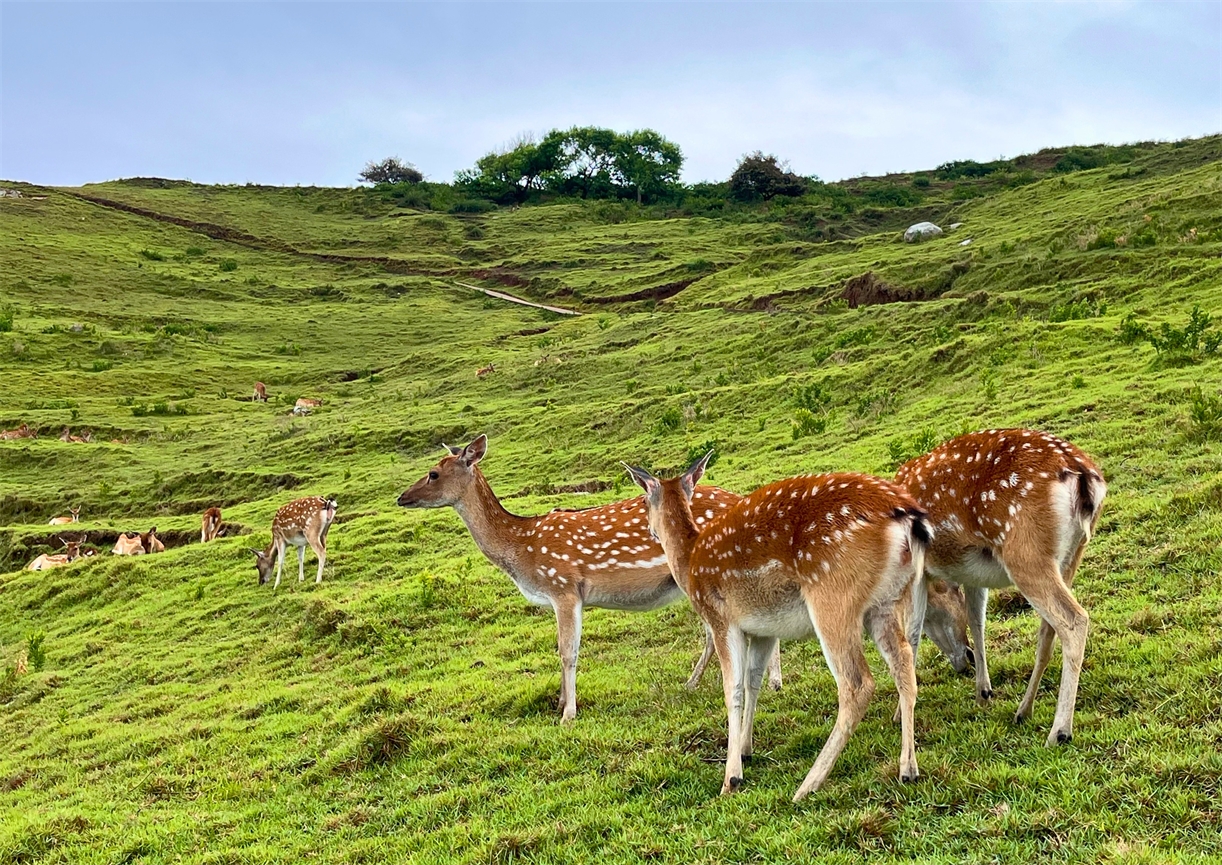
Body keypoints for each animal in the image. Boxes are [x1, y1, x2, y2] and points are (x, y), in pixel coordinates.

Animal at [396, 435, 782, 723]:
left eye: (433, 473)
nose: (402, 497)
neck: (522, 550)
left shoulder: (564, 586)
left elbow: (567, 650)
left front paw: (568, 713)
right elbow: (563, 649)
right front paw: (558, 702)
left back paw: (761, 682)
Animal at [626, 454, 931, 800]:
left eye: (643, 501)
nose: (650, 532)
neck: (689, 562)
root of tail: (908, 517)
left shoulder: (721, 618)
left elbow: (732, 689)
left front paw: (731, 778)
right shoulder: (764, 628)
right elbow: (753, 681)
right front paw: (746, 749)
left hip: (833, 595)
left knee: (857, 683)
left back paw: (808, 785)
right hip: (889, 600)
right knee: (904, 659)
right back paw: (908, 768)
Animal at [895, 428, 1106, 747]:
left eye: (937, 612)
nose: (965, 659)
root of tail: (1083, 475)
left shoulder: (918, 572)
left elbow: (912, 635)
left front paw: (898, 714)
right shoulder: (973, 573)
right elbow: (977, 620)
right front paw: (983, 692)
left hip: (1025, 553)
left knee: (1074, 620)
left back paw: (1059, 731)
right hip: (1071, 554)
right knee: (1048, 629)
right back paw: (1023, 710)